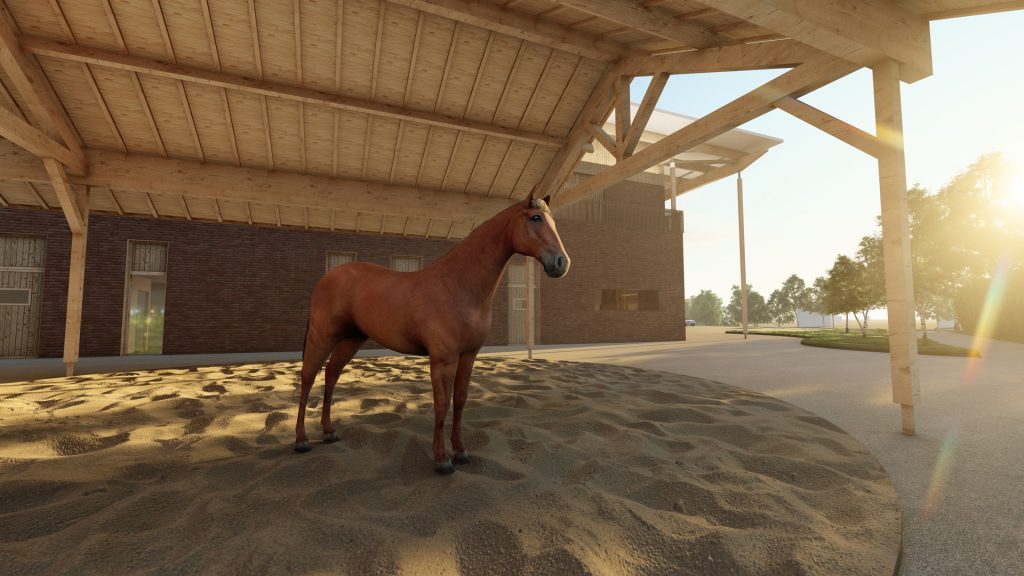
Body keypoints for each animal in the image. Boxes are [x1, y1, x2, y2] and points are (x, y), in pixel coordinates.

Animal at [295, 192, 570, 474]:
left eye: (552, 221)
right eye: (535, 218)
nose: (561, 263)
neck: (458, 286)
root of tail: (327, 277)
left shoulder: (468, 356)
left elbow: (460, 401)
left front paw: (461, 451)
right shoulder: (442, 359)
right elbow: (442, 403)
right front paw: (442, 459)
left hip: (352, 339)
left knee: (331, 374)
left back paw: (329, 432)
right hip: (322, 336)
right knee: (308, 377)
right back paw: (301, 440)